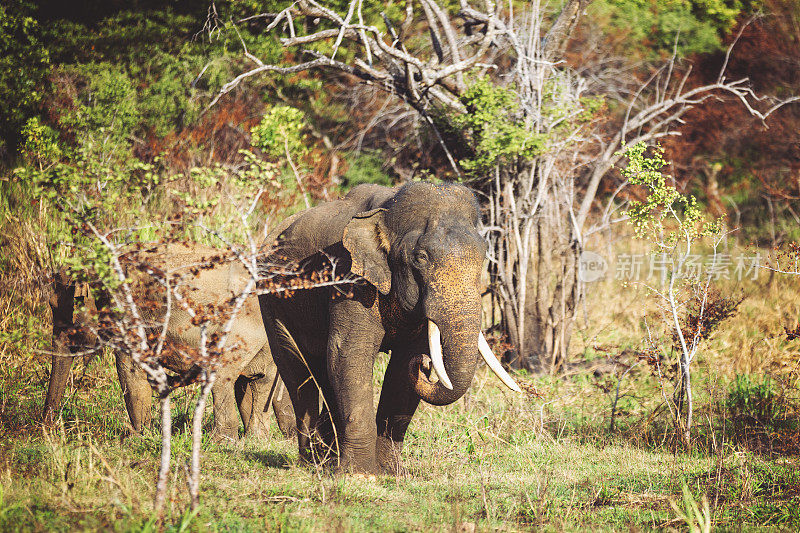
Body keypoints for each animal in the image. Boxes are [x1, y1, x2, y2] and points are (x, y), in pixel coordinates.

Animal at [41, 242, 296, 440]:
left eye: (62, 310)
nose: (46, 431)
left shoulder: (127, 312)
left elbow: (130, 370)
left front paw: (137, 437)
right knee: (260, 379)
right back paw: (256, 439)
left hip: (239, 328)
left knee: (223, 376)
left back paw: (222, 440)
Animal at [256, 181, 520, 472]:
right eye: (421, 258)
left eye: (483, 257)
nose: (425, 366)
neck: (388, 210)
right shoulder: (350, 278)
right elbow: (348, 353)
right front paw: (361, 475)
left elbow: (402, 367)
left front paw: (390, 472)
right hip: (271, 299)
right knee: (295, 367)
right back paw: (313, 462)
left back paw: (329, 459)